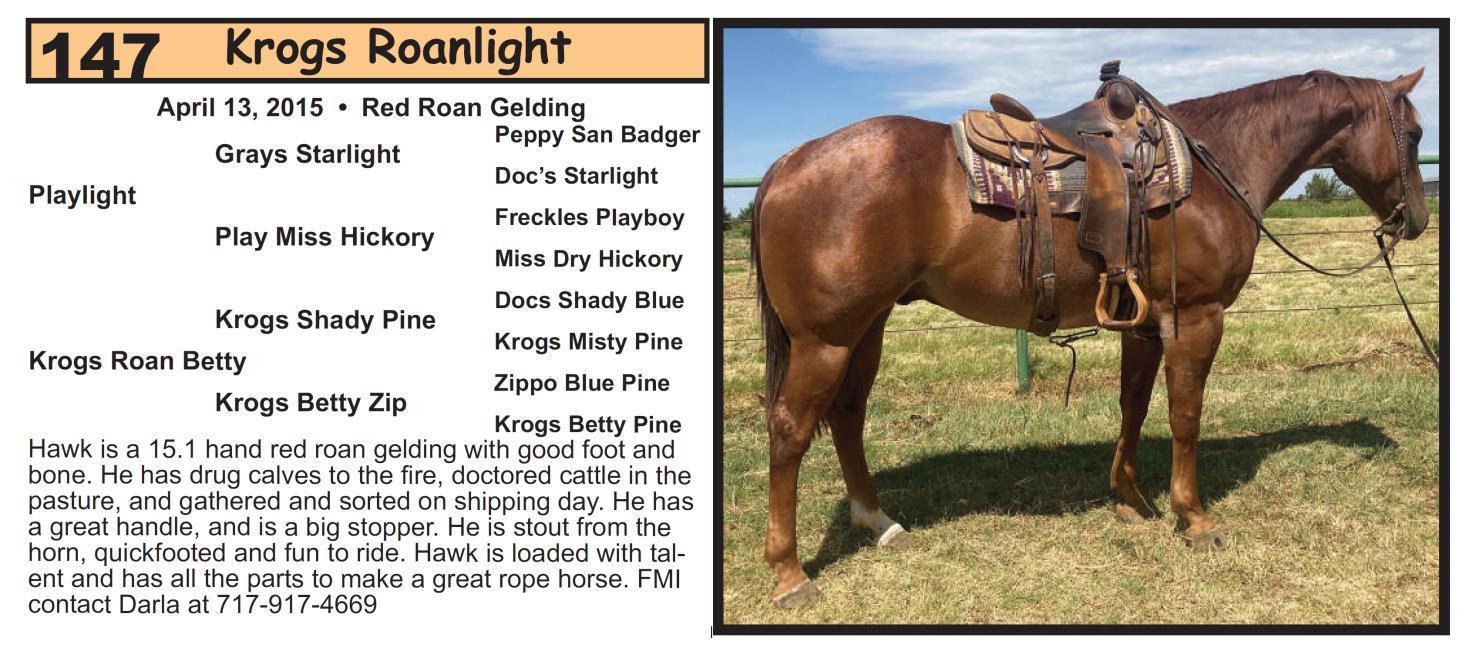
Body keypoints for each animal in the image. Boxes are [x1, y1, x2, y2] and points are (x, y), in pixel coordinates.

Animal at [747, 67, 1429, 608]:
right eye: (1418, 135)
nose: (1417, 220)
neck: (1218, 165)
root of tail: (787, 162)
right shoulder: (1196, 316)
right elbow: (1185, 416)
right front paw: (1194, 517)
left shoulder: (1146, 322)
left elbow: (1135, 404)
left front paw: (1130, 497)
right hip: (826, 339)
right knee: (790, 430)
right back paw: (790, 574)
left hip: (867, 328)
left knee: (847, 415)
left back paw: (877, 520)